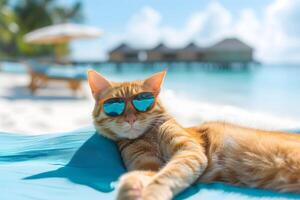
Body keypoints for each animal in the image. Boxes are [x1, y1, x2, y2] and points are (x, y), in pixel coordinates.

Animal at [86, 69, 300, 199]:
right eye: (115, 105)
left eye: (143, 102)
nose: (131, 119)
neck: (149, 135)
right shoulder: (146, 163)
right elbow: (145, 174)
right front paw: (132, 188)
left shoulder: (189, 152)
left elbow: (167, 175)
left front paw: (151, 193)